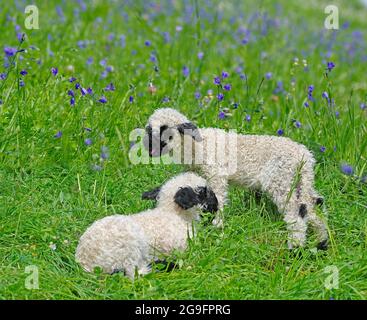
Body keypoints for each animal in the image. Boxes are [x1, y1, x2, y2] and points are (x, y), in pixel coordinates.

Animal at [75, 171, 218, 278]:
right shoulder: (182, 247)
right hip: (129, 251)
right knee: (134, 273)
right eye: (205, 192)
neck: (172, 213)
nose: (217, 205)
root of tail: (86, 264)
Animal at [142, 107, 330, 250]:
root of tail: (304, 156)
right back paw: (321, 241)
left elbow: (219, 197)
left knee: (295, 211)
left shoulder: (216, 173)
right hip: (300, 182)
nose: (148, 146)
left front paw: (217, 224)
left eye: (165, 129)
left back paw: (295, 245)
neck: (195, 147)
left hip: (281, 180)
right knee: (312, 207)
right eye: (149, 130)